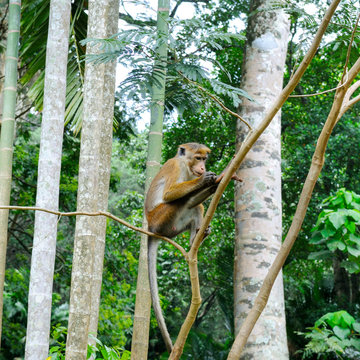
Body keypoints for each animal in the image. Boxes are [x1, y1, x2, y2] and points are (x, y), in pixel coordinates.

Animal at [145, 143, 221, 352]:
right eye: (198, 158)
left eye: (204, 159)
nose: (203, 167)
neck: (187, 166)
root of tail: (151, 228)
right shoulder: (175, 167)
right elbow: (169, 193)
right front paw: (204, 180)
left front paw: (213, 184)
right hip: (161, 218)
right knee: (180, 200)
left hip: (173, 226)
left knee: (196, 206)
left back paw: (197, 238)